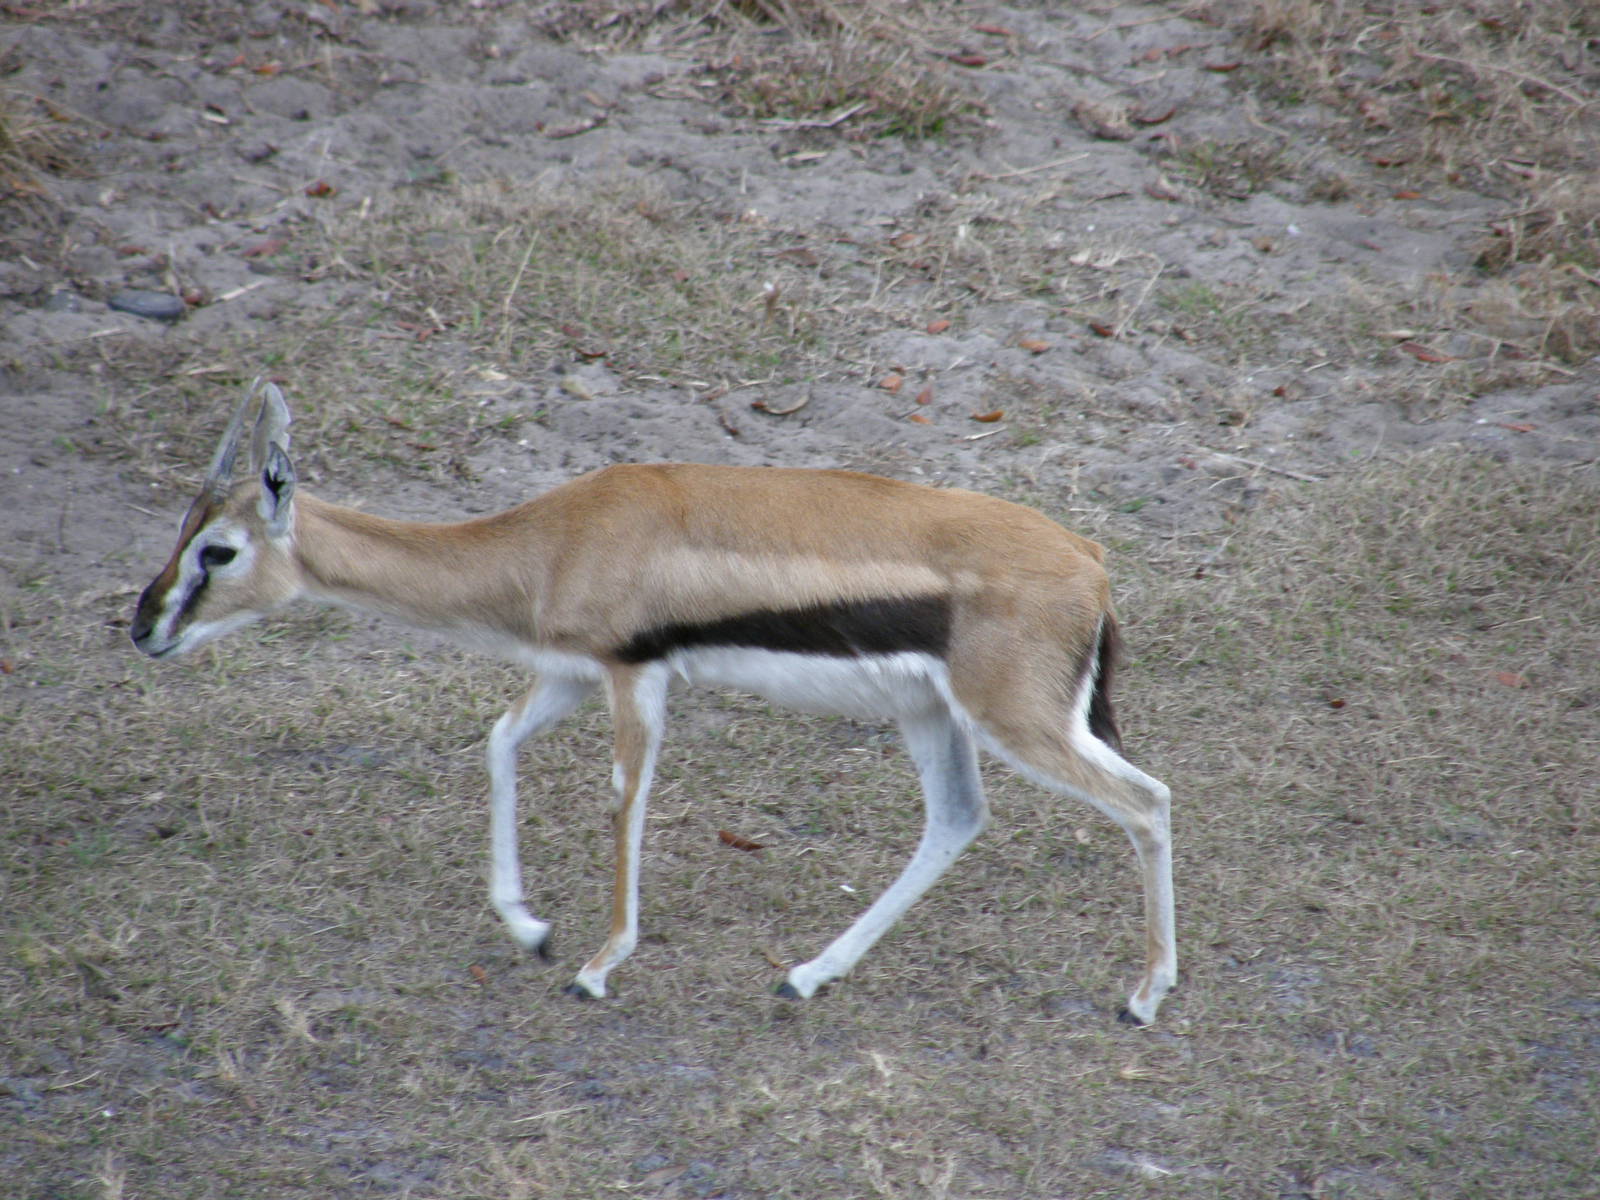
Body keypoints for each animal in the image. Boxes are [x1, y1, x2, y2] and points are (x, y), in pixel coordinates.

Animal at [131, 379, 1176, 1023]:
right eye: (180, 529)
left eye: (218, 550)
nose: (143, 625)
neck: (555, 539)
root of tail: (1090, 561)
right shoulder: (568, 670)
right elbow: (498, 742)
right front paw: (530, 929)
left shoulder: (635, 678)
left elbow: (623, 802)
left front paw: (597, 968)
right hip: (935, 717)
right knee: (960, 818)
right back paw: (806, 975)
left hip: (1017, 721)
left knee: (1148, 802)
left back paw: (1143, 998)